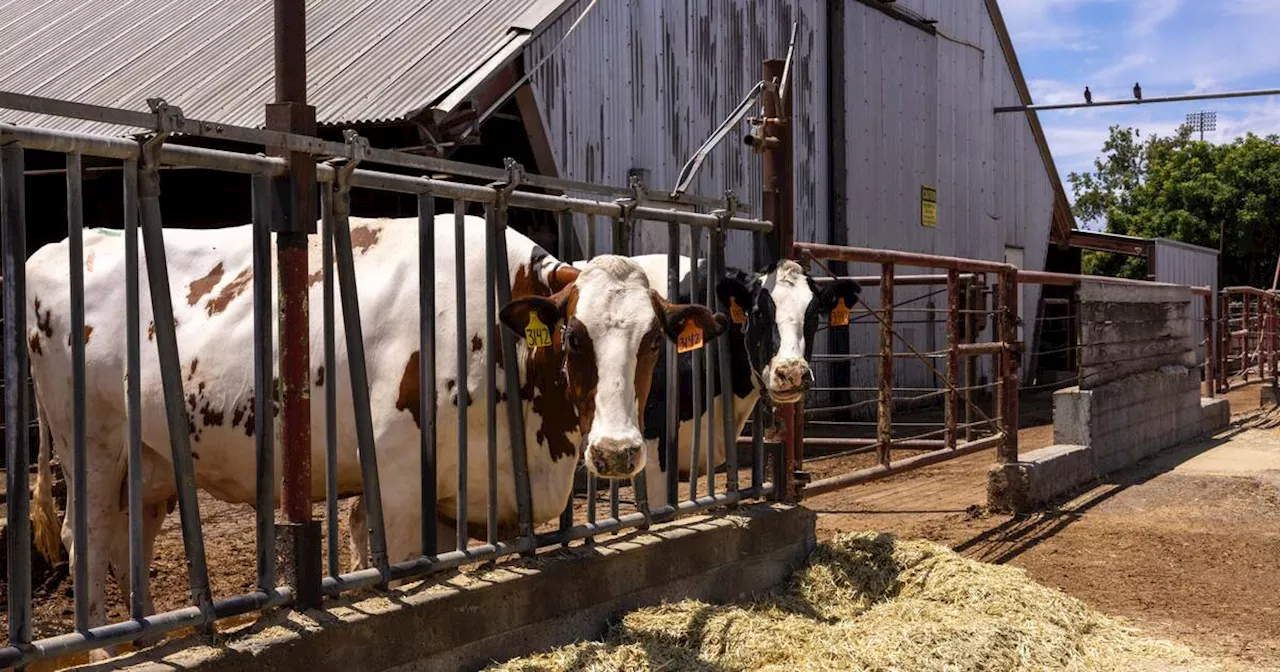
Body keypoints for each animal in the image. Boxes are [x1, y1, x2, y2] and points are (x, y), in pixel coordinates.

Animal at [22, 215, 721, 645]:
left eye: (653, 339)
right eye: (574, 336)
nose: (616, 452)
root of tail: (66, 244)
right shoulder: (401, 481)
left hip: (150, 465)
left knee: (126, 544)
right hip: (91, 446)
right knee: (86, 542)